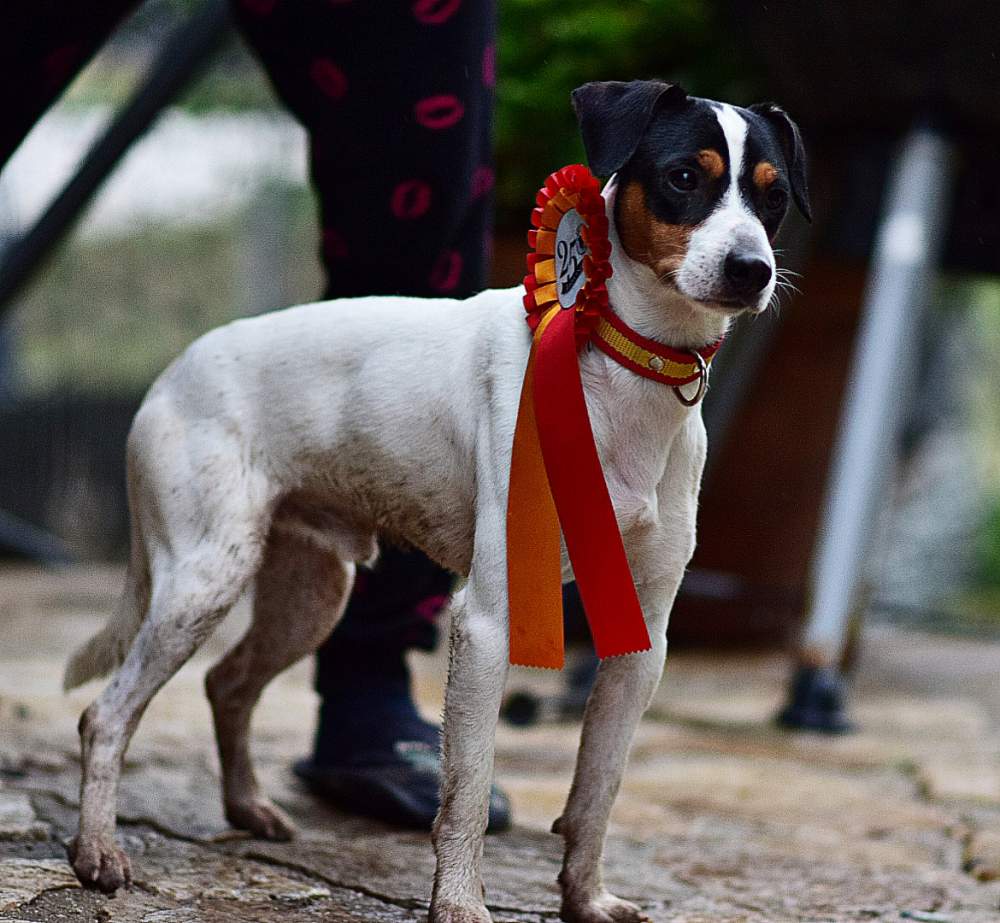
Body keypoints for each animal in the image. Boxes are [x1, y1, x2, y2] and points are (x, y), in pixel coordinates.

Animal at [62, 79, 808, 923]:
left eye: (774, 196)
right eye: (685, 177)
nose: (752, 270)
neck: (616, 366)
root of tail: (168, 375)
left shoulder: (639, 639)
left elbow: (598, 791)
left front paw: (586, 898)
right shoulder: (487, 622)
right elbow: (467, 791)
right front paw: (458, 903)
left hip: (309, 592)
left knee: (227, 684)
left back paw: (247, 807)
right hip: (201, 581)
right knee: (106, 714)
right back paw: (97, 850)